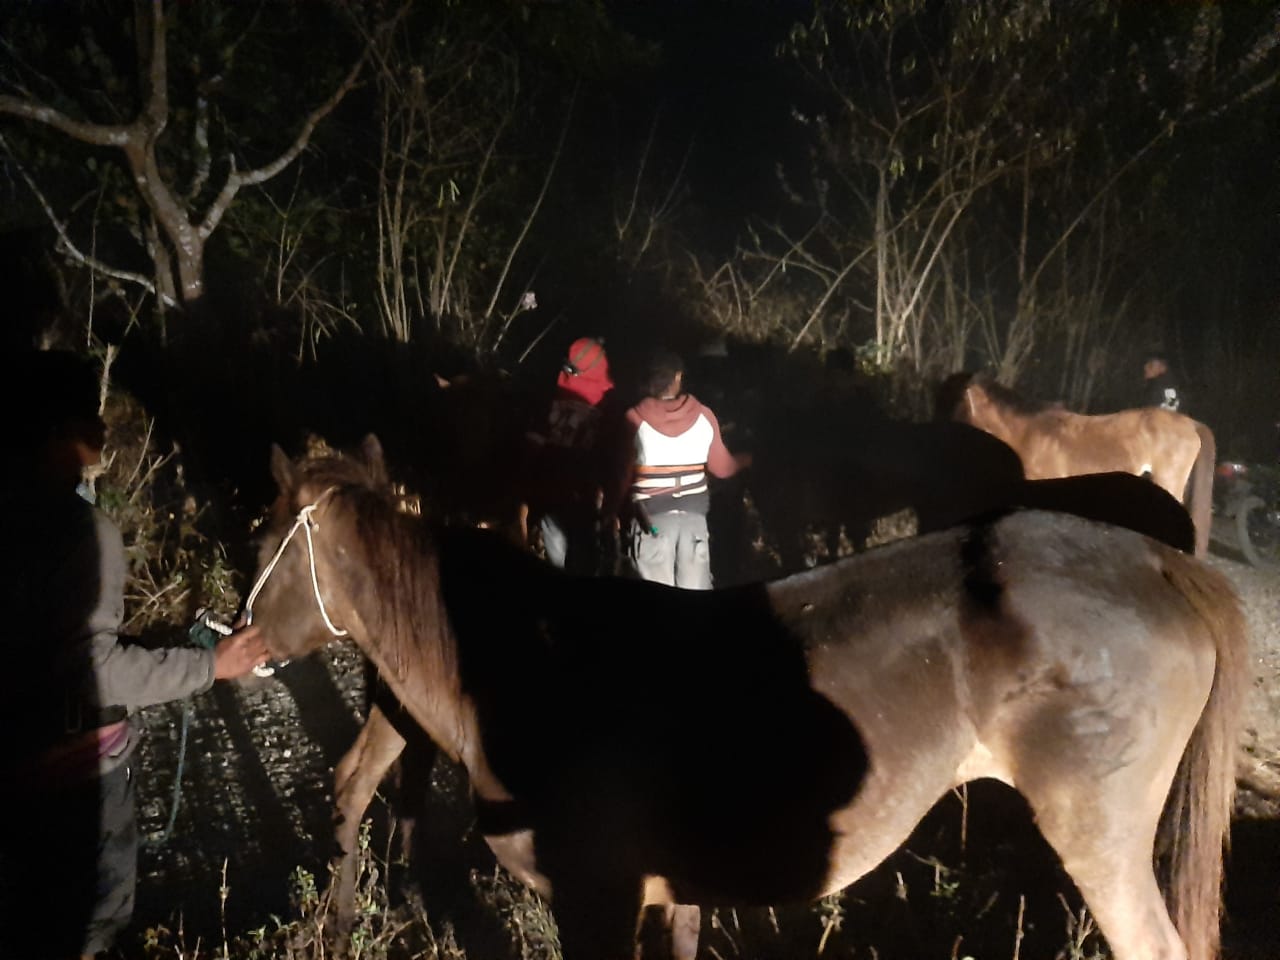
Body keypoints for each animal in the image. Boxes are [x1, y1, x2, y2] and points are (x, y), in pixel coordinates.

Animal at [244, 437, 1244, 960]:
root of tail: (1162, 559)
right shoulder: (664, 893)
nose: (235, 640)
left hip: (1100, 840)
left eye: (262, 536)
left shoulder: (594, 899)